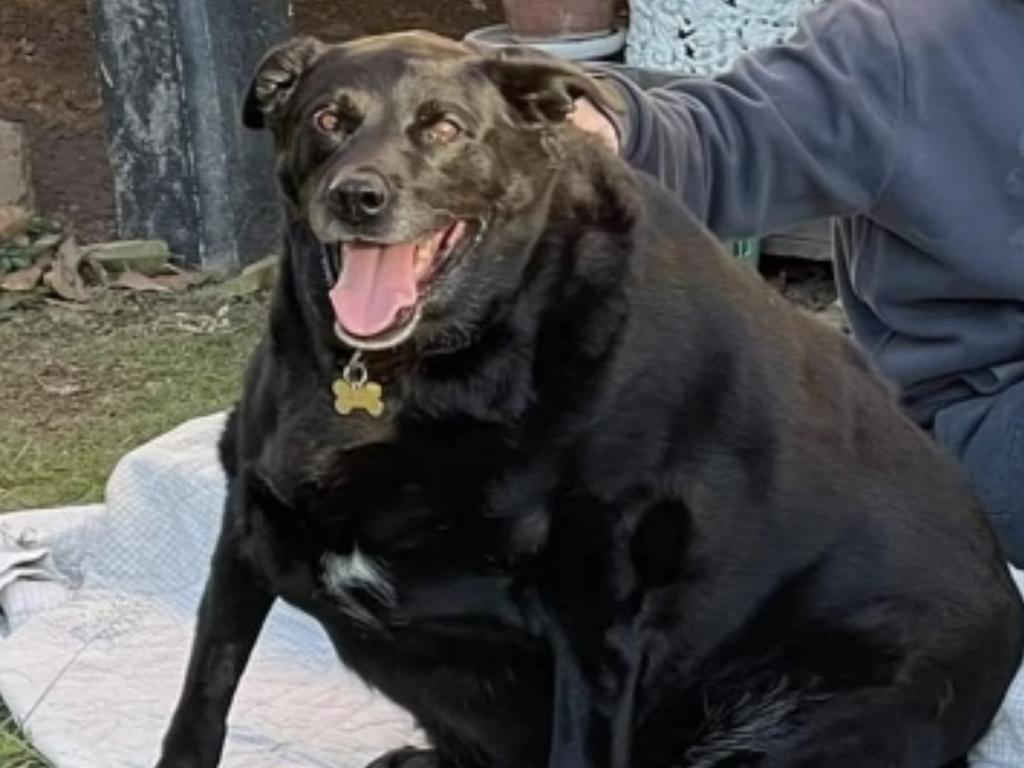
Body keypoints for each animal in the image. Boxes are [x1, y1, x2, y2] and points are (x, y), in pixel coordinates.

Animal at [153, 31, 1024, 768]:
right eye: (328, 119)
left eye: (445, 128)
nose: (357, 197)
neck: (414, 372)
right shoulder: (246, 533)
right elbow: (200, 705)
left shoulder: (596, 619)